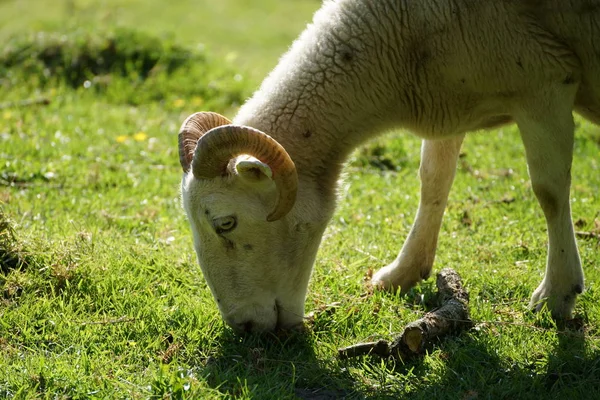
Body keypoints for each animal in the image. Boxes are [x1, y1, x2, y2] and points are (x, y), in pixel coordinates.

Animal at [178, 0, 600, 332]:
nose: (243, 326)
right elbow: (433, 180)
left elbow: (549, 191)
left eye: (225, 223)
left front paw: (557, 295)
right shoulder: (450, 103)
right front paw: (401, 274)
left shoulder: (544, 83)